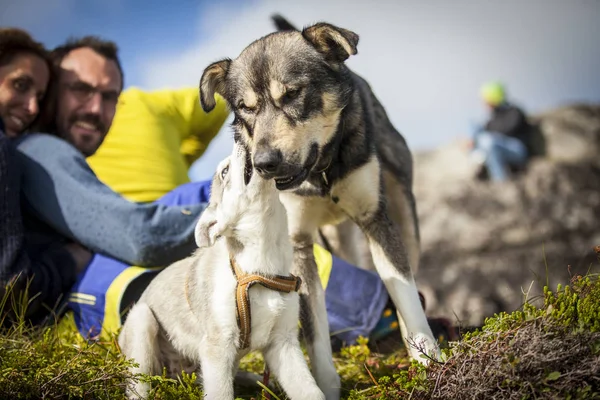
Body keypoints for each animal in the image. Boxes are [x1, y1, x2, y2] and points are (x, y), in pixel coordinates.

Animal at [199, 14, 438, 398]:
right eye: (246, 108)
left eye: (292, 94)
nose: (263, 163)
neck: (322, 172)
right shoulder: (299, 245)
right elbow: (314, 332)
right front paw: (326, 383)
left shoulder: (376, 220)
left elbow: (405, 297)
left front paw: (429, 362)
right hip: (337, 239)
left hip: (403, 210)